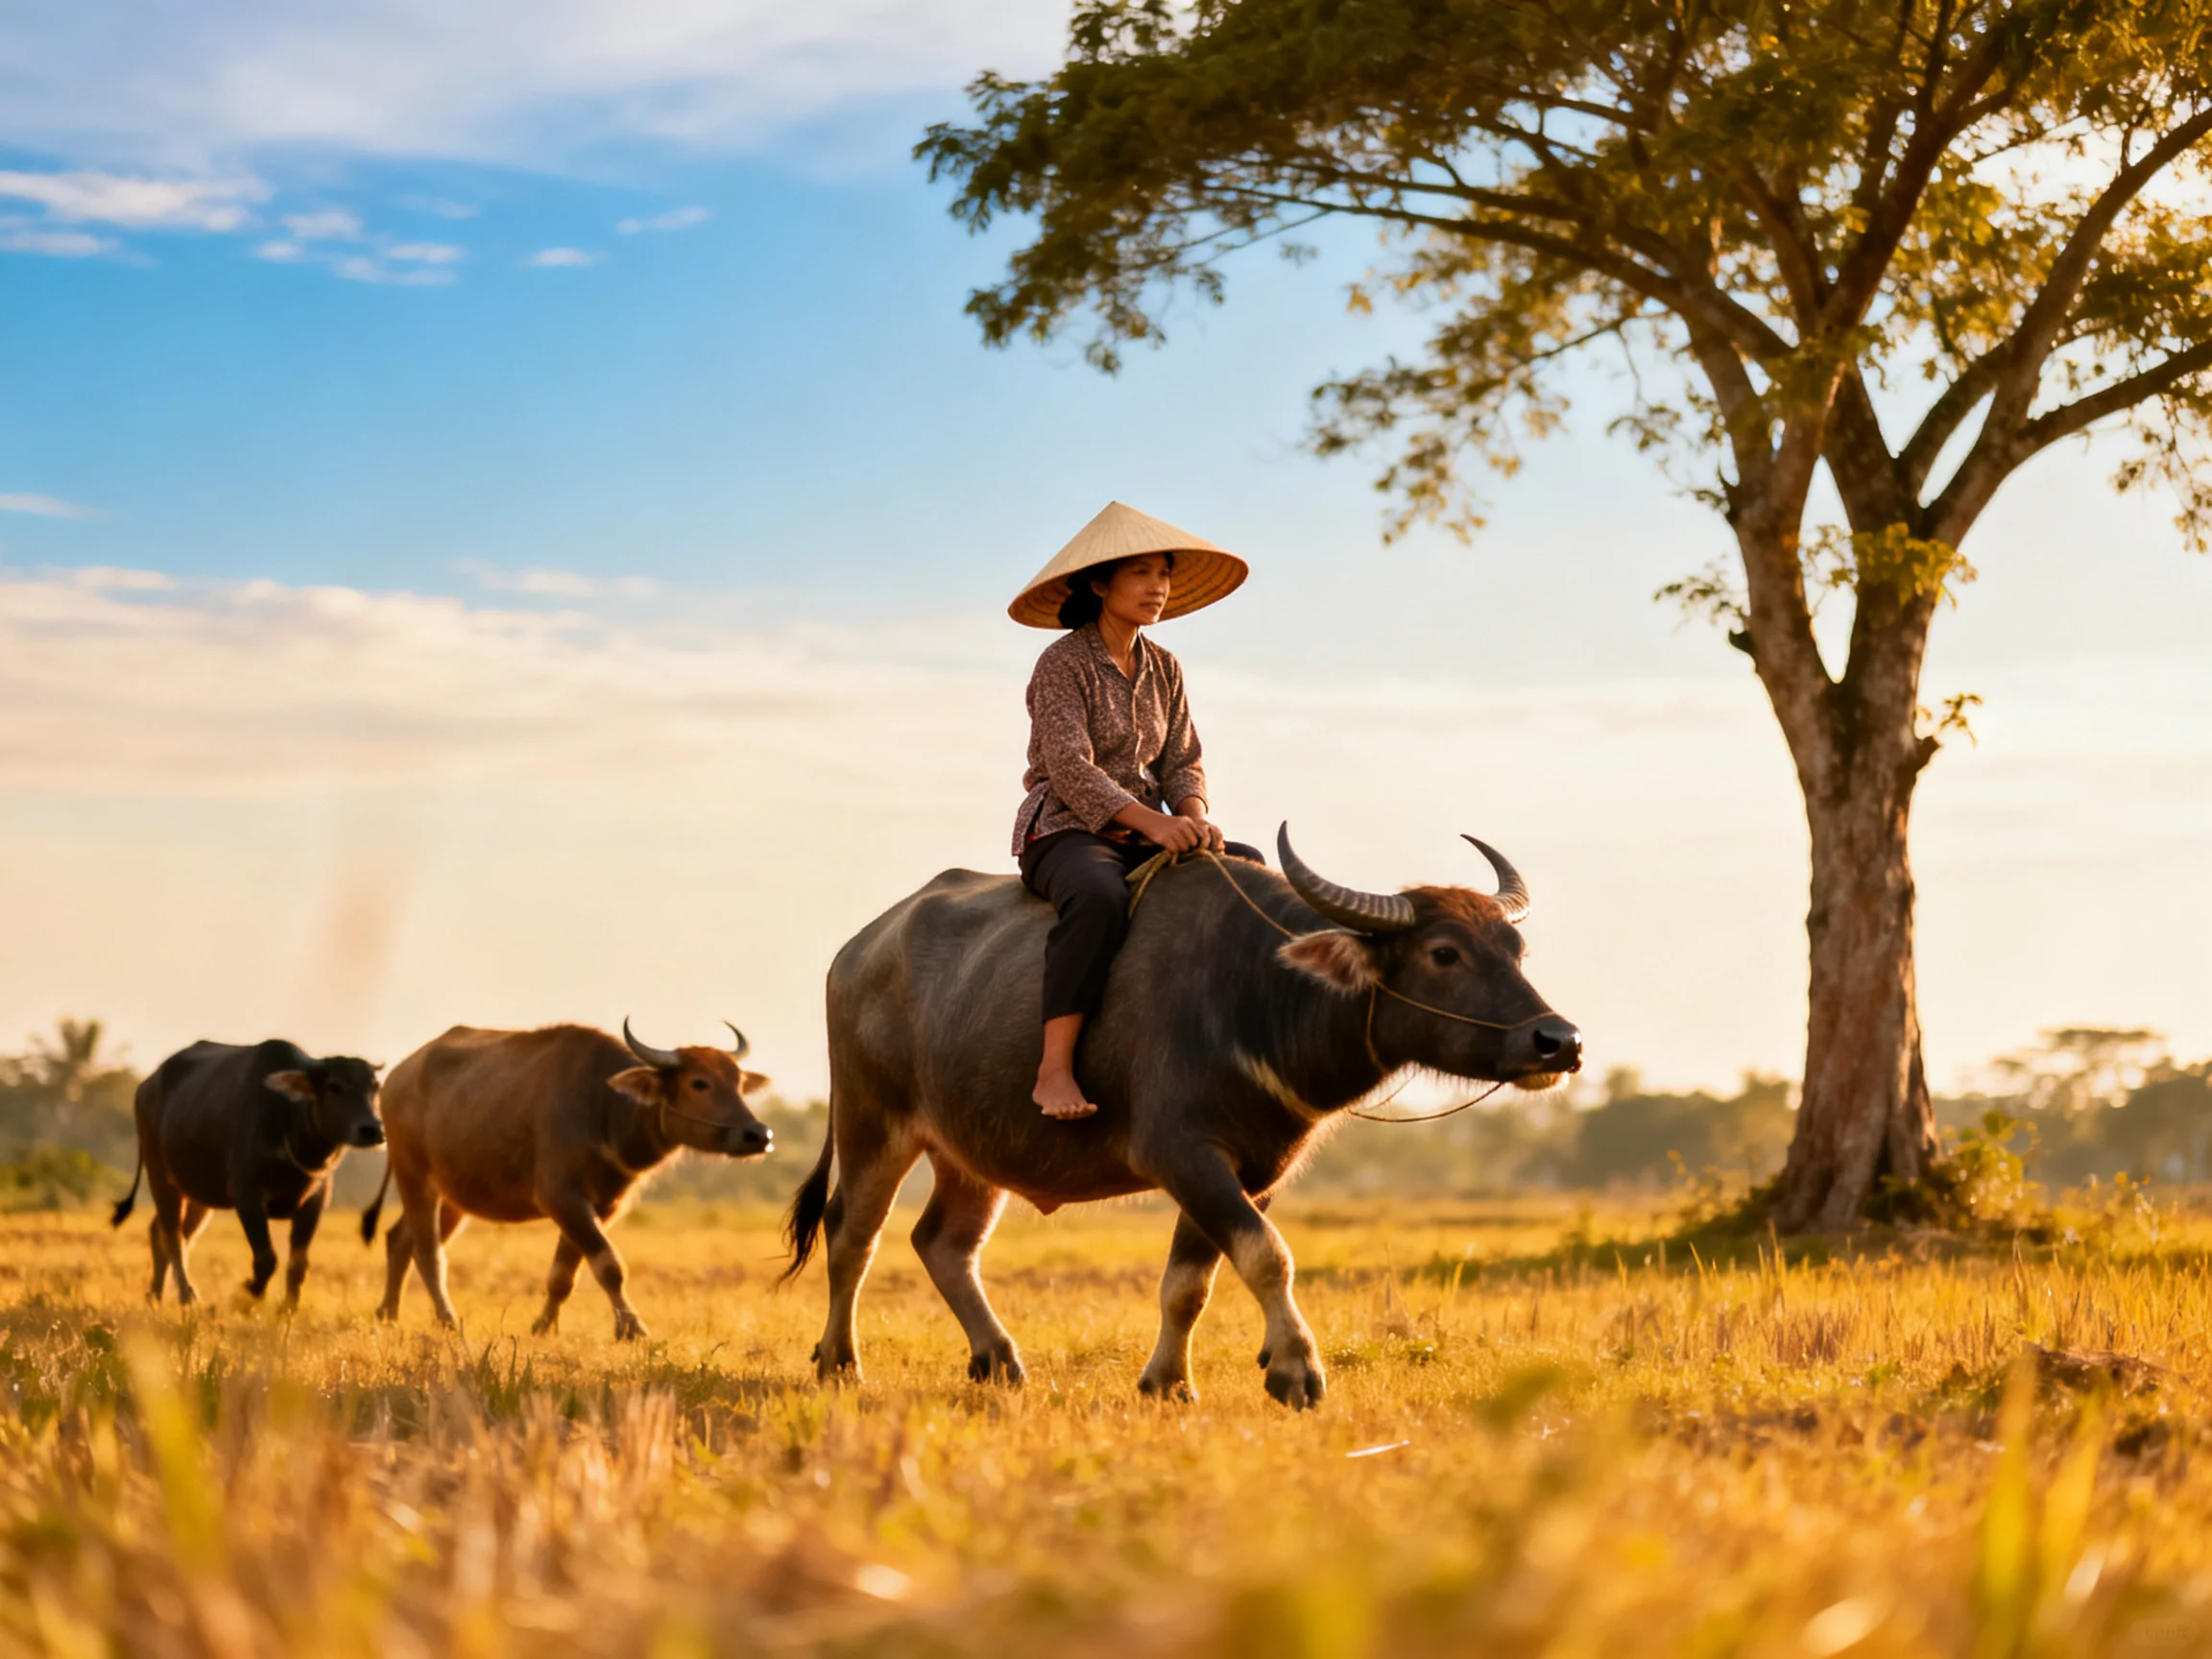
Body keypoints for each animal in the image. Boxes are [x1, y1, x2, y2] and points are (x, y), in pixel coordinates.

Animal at [113, 1039, 387, 1306]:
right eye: (334, 1086)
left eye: (375, 1087)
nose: (372, 1129)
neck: (287, 1123)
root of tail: (146, 1087)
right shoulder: (247, 1196)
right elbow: (266, 1258)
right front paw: (246, 1295)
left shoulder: (315, 1201)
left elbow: (298, 1264)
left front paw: (288, 1309)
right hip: (160, 1174)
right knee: (172, 1235)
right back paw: (186, 1294)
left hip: (197, 1192)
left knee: (165, 1231)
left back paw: (155, 1295)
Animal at [365, 1020, 772, 1339]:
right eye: (699, 1083)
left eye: (737, 1081)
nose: (758, 1134)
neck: (605, 1110)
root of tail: (395, 1079)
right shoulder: (561, 1197)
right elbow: (610, 1266)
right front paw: (632, 1328)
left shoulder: (600, 1206)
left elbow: (564, 1275)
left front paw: (543, 1326)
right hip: (415, 1176)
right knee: (427, 1251)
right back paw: (447, 1319)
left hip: (455, 1195)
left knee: (399, 1239)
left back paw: (387, 1314)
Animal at [785, 825, 1581, 1408]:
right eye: (1444, 952)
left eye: (1515, 948)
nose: (1560, 1041)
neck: (1257, 993)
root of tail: (855, 951)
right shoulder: (1183, 1153)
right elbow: (1267, 1254)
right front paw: (1295, 1369)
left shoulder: (1253, 1170)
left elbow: (1191, 1283)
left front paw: (1168, 1382)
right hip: (873, 1120)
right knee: (853, 1234)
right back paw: (840, 1362)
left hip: (972, 1147)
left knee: (942, 1242)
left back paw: (999, 1359)